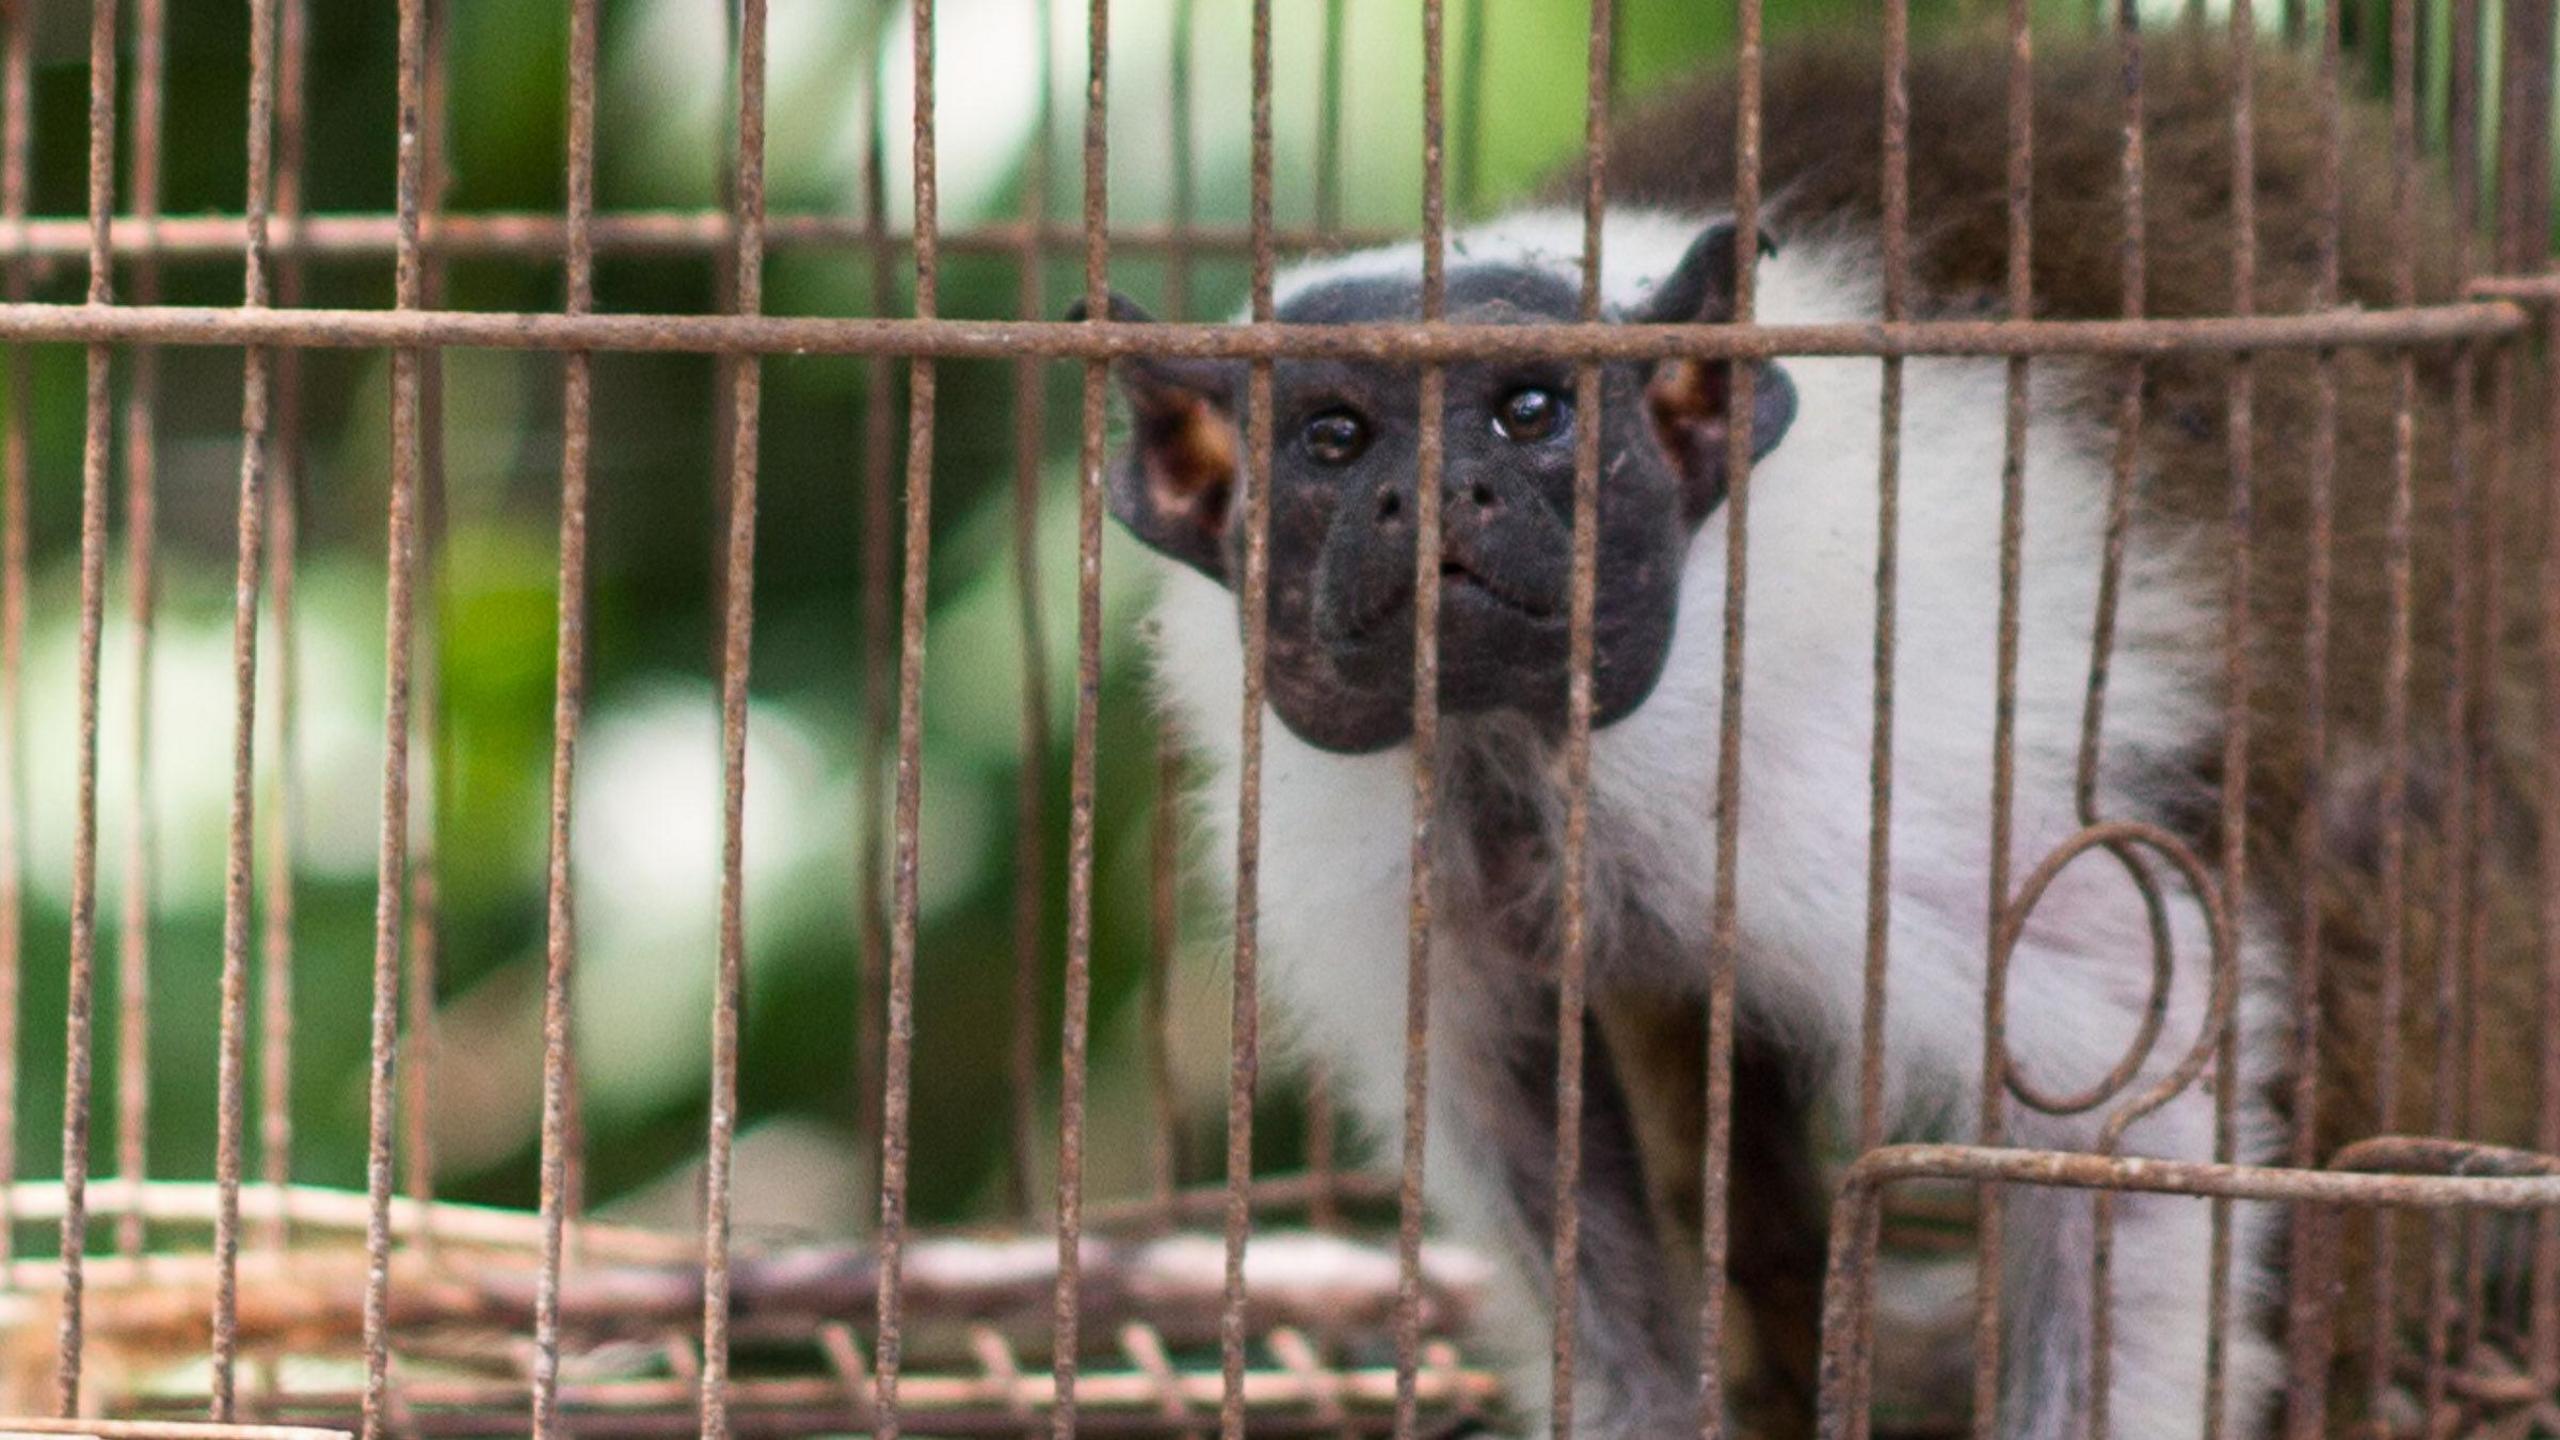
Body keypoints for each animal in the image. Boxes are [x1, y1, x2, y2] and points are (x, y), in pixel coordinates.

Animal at [1070, 28, 2529, 1434]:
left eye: (1531, 413)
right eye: (1333, 438)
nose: (1433, 495)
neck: (1518, 753)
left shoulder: (1827, 784)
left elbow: (2128, 1059)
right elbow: (1527, 1134)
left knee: (2371, 834)